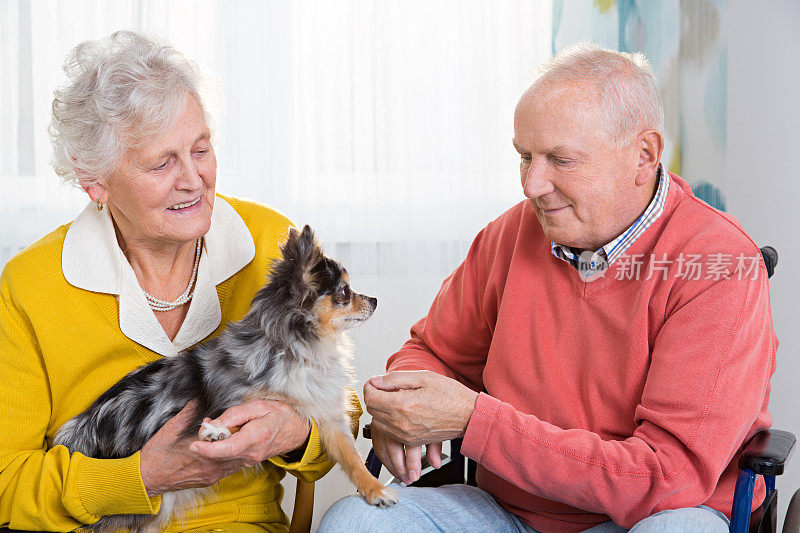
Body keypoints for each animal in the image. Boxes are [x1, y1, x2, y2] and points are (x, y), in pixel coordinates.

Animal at [53, 224, 396, 532]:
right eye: (345, 293)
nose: (375, 300)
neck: (300, 350)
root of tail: (80, 431)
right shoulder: (235, 400)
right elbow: (233, 419)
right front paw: (216, 431)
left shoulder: (327, 418)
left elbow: (352, 458)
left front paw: (375, 490)